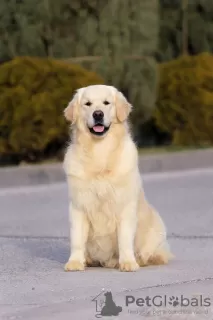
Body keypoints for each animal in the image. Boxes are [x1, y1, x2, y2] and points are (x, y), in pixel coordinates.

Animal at [63, 84, 173, 272]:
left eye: (106, 103)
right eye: (87, 104)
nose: (98, 114)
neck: (100, 151)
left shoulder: (125, 206)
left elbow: (125, 239)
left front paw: (128, 262)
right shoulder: (79, 205)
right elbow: (77, 238)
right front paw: (75, 262)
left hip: (156, 225)